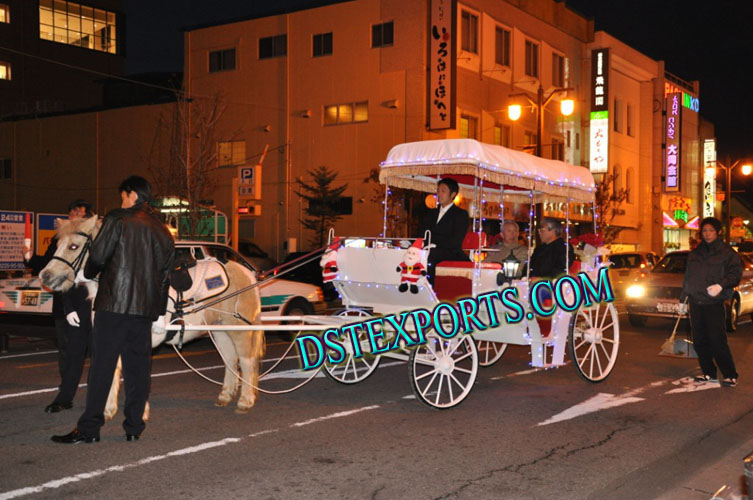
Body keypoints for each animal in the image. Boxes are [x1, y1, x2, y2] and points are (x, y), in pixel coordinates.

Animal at [40, 217, 268, 416]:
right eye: (58, 244)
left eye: (74, 246)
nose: (45, 276)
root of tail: (248, 273)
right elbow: (112, 371)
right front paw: (107, 411)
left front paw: (139, 413)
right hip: (219, 330)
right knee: (230, 359)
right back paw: (225, 396)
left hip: (239, 329)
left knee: (246, 361)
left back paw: (245, 401)